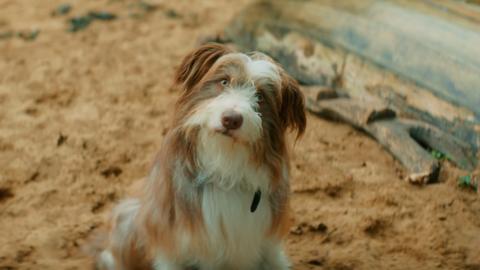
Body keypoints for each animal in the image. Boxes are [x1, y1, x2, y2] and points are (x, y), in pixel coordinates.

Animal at [95, 43, 306, 268]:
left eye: (260, 97)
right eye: (224, 81)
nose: (231, 119)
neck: (225, 166)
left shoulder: (266, 243)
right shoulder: (170, 241)